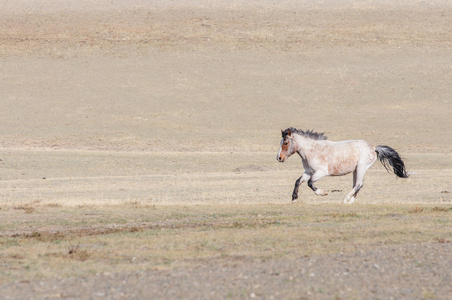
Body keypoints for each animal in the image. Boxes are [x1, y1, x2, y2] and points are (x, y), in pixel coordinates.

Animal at [276, 126, 410, 204]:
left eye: (286, 143)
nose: (279, 158)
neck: (312, 150)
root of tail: (373, 148)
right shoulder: (309, 172)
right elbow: (298, 181)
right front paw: (294, 199)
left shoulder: (321, 172)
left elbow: (310, 183)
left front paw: (323, 193)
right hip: (356, 170)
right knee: (358, 185)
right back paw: (350, 201)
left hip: (361, 168)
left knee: (358, 184)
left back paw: (345, 199)